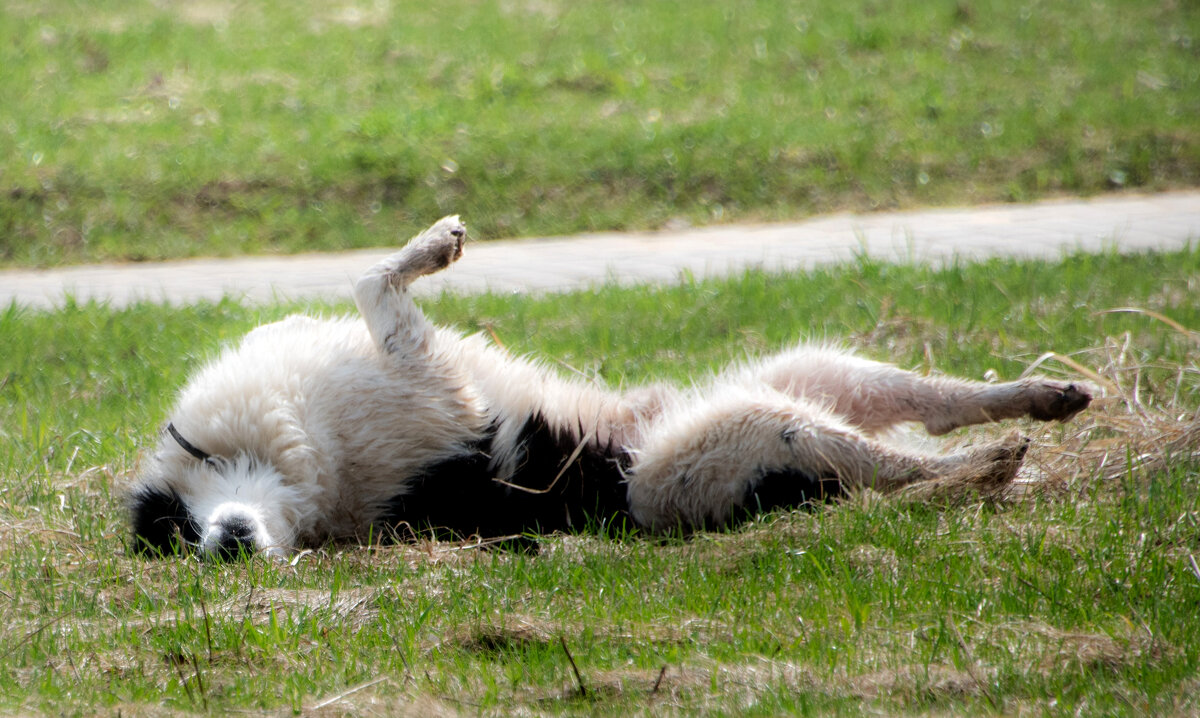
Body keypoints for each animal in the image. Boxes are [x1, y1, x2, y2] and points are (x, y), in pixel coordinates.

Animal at [129, 216, 1089, 559]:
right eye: (177, 546)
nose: (228, 547)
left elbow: (371, 281)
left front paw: (436, 243)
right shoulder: (434, 387)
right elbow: (375, 285)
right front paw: (433, 248)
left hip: (812, 371)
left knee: (928, 404)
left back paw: (1046, 398)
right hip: (734, 436)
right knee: (891, 467)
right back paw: (989, 465)